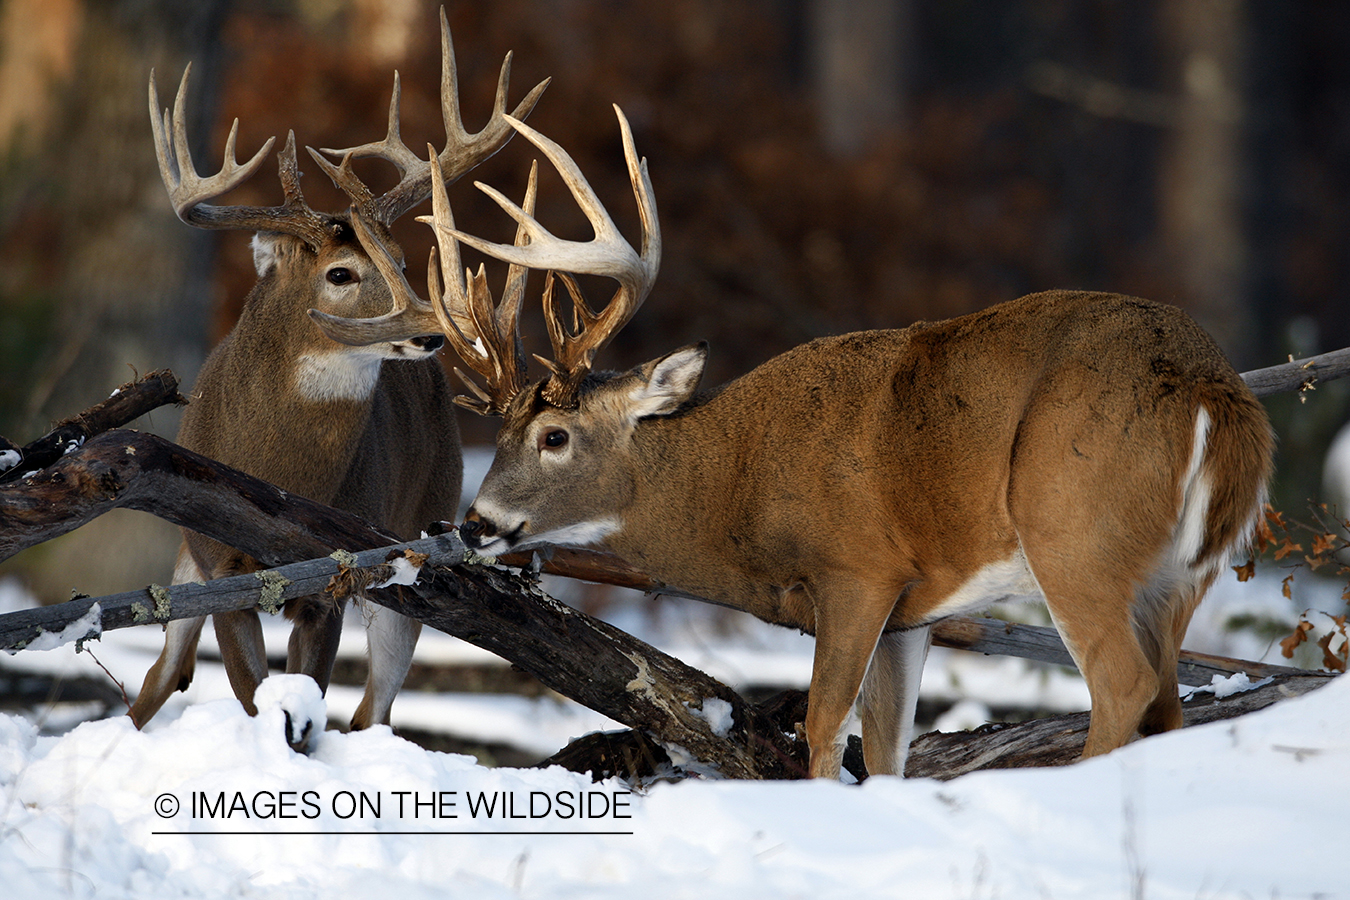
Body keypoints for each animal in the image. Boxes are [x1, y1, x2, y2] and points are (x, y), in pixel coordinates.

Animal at [128, 17, 545, 744]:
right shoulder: (219, 568)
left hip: (418, 538)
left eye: (404, 261)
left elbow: (306, 706)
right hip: (186, 562)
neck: (281, 472)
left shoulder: (338, 581)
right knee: (159, 676)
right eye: (340, 273)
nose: (433, 332)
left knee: (372, 709)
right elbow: (254, 700)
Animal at [342, 109, 1269, 777]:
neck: (739, 481)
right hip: (1181, 572)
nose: (478, 523)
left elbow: (826, 729)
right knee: (1169, 701)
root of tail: (1212, 389)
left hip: (1075, 531)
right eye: (498, 430)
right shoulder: (915, 610)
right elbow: (888, 745)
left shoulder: (858, 568)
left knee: (1124, 687)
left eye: (555, 436)